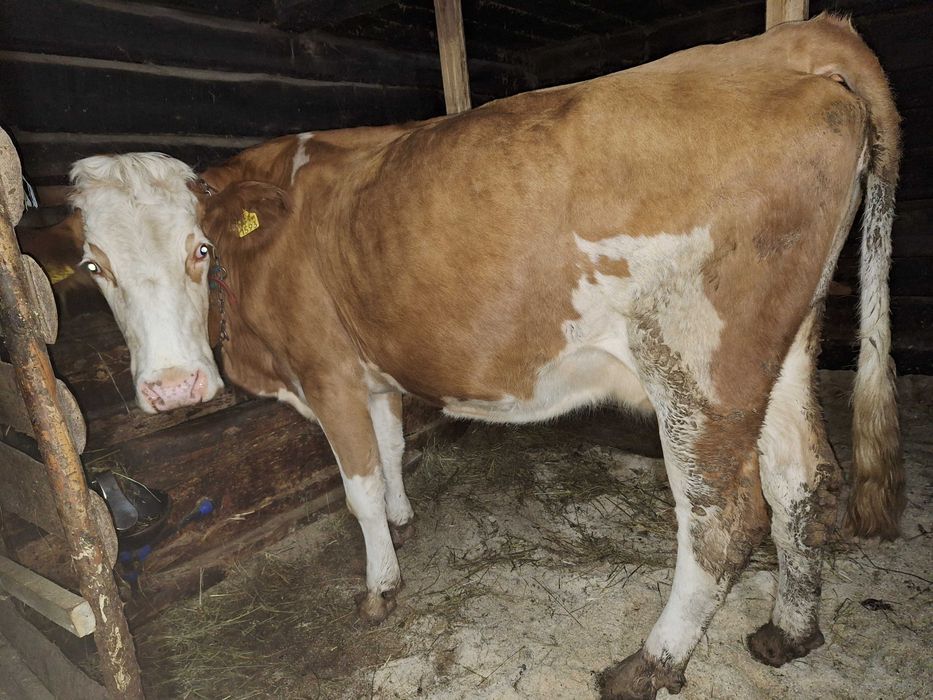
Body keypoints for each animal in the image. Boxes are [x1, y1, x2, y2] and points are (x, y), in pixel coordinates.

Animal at [43, 15, 903, 699]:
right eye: (93, 265)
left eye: (200, 249)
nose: (174, 387)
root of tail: (782, 44)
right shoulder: (372, 368)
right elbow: (391, 450)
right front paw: (403, 521)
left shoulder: (326, 371)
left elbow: (357, 487)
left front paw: (380, 585)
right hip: (782, 347)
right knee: (800, 480)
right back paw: (788, 632)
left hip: (695, 359)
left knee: (722, 515)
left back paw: (648, 664)